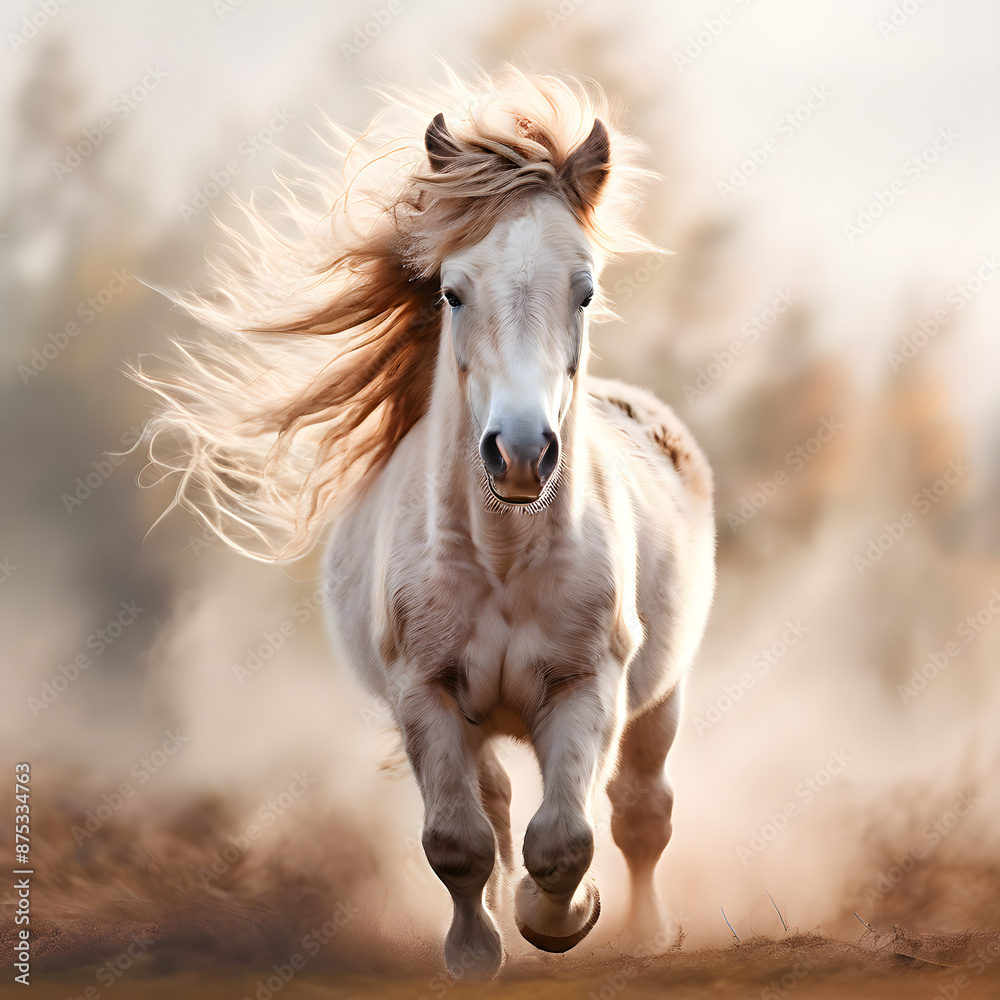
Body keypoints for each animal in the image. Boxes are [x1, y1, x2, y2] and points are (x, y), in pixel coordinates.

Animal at [136, 67, 715, 980]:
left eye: (585, 288)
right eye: (452, 290)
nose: (521, 454)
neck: (503, 556)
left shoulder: (587, 685)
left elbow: (568, 835)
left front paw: (562, 917)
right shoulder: (425, 694)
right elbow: (459, 841)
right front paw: (479, 951)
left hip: (663, 694)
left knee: (639, 811)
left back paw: (647, 932)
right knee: (500, 804)